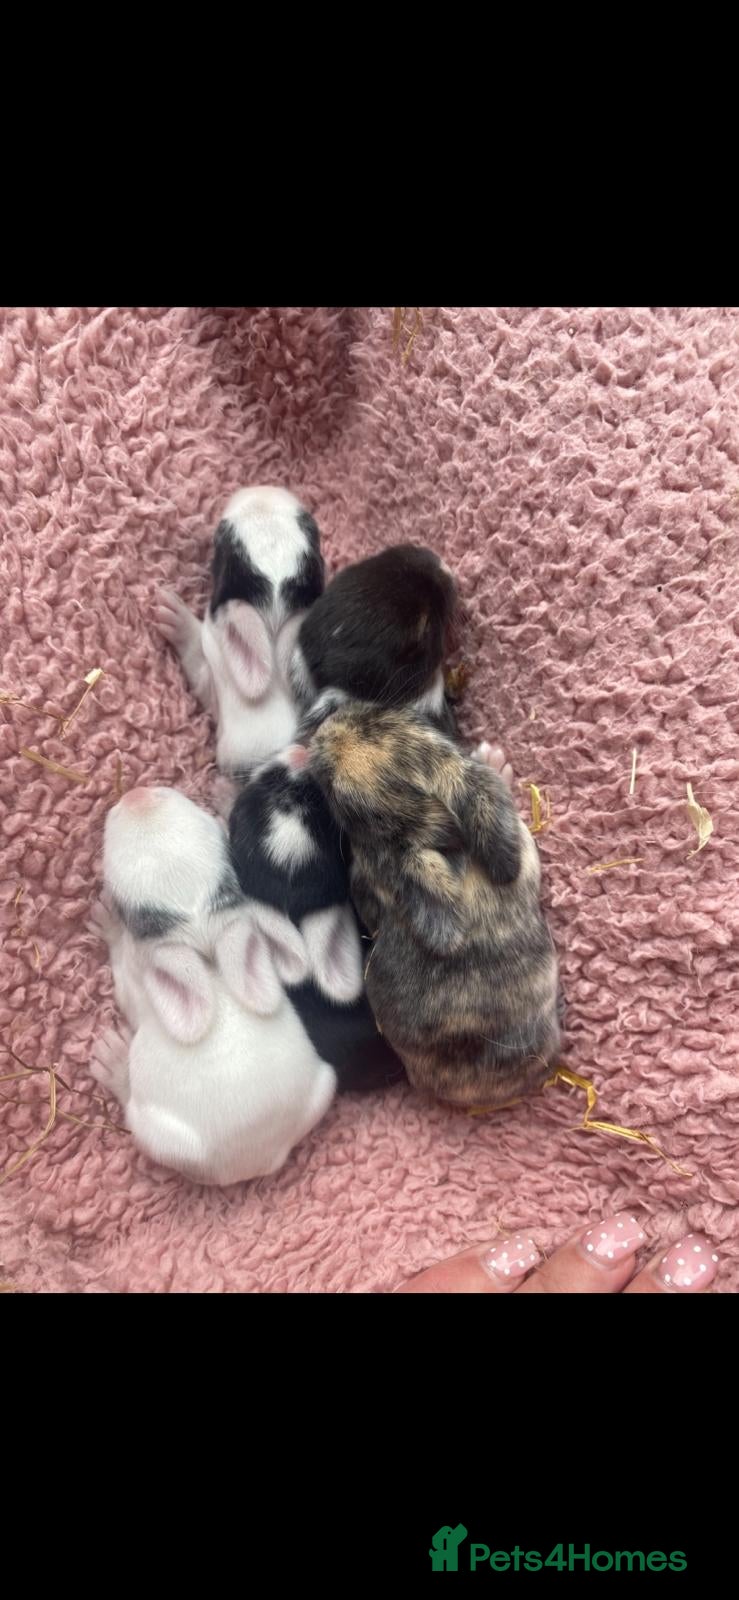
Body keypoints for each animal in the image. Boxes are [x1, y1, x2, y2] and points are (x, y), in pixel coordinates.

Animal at [88, 784, 336, 1185]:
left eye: (133, 914)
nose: (138, 794)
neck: (199, 933)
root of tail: (259, 1160)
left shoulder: (135, 978)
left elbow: (122, 976)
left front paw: (108, 922)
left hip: (160, 1135)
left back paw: (112, 1062)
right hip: (324, 1086)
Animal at [154, 485, 325, 774]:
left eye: (219, 538)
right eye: (311, 526)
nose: (262, 488)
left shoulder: (216, 692)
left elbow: (197, 660)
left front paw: (175, 615)